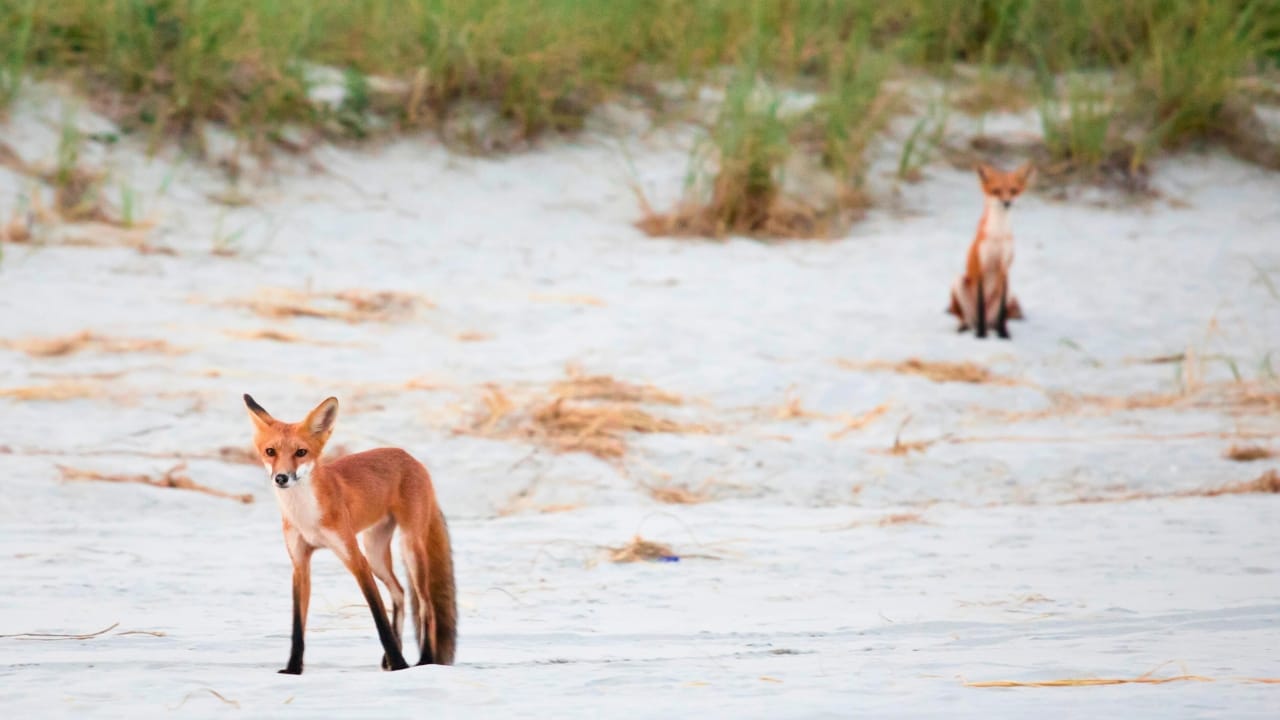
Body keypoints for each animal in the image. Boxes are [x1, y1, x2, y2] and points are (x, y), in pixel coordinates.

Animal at [243, 394, 456, 674]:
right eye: (270, 452)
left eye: (301, 452)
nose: (281, 478)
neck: (306, 517)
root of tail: (408, 456)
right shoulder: (300, 564)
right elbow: (297, 626)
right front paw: (293, 669)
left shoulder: (355, 559)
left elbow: (379, 617)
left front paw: (400, 665)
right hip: (375, 552)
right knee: (399, 592)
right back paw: (390, 660)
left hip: (408, 548)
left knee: (425, 605)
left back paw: (424, 660)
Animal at [947, 161, 1034, 339]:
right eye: (996, 191)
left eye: (1013, 190)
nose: (1007, 203)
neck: (998, 235)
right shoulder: (982, 267)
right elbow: (981, 306)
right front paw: (981, 335)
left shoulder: (1004, 268)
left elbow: (1001, 313)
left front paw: (1003, 335)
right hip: (959, 283)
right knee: (968, 320)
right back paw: (969, 328)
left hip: (1008, 290)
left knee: (997, 319)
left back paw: (997, 329)